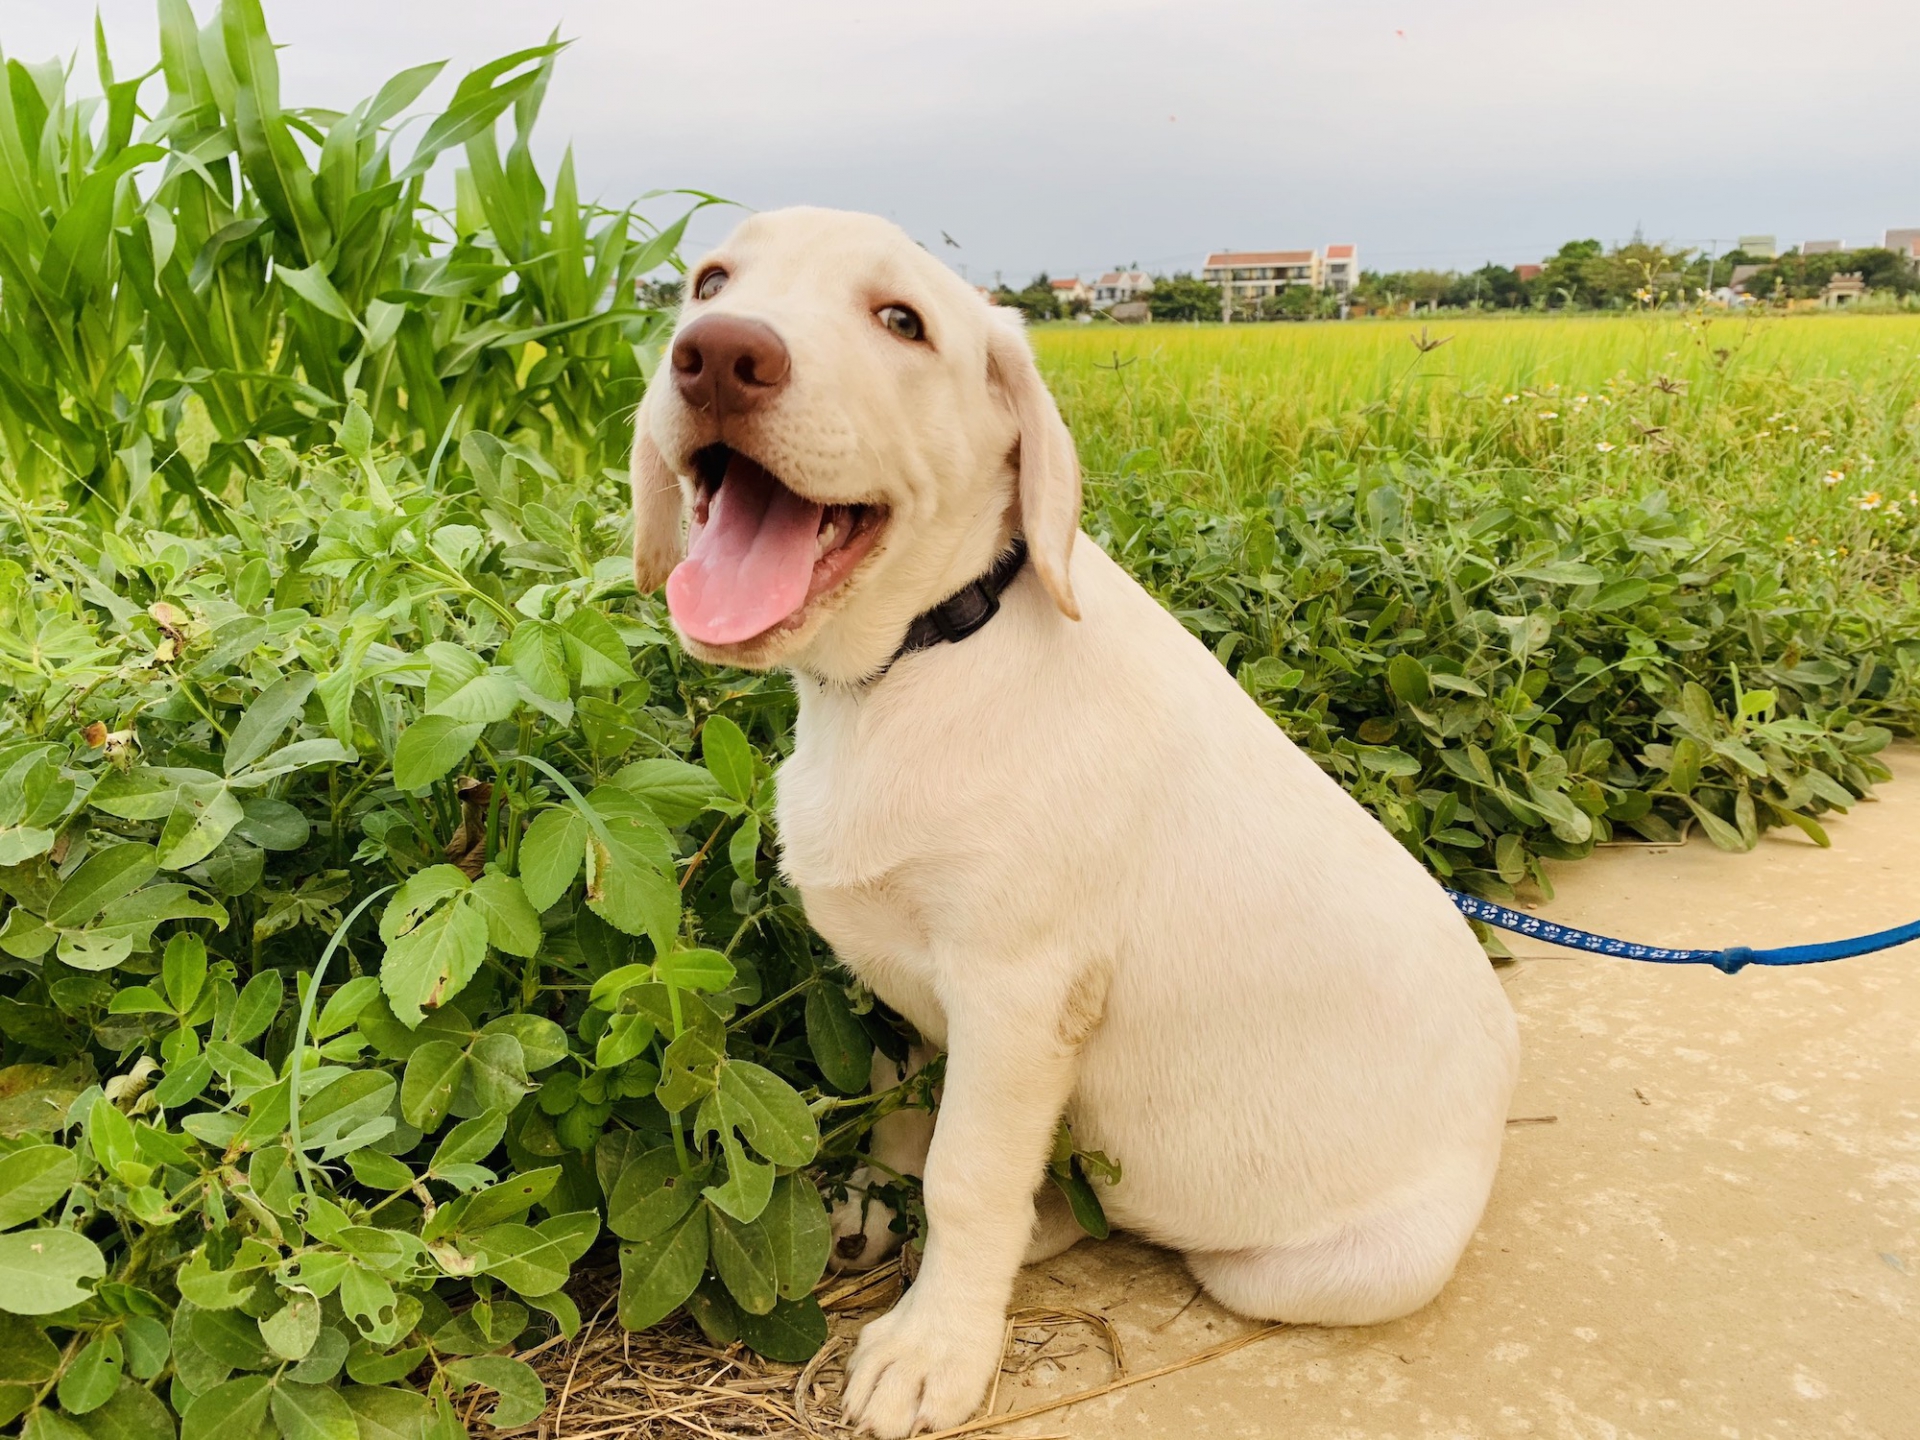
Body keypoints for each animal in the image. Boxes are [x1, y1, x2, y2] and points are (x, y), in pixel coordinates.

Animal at [629, 208, 1512, 1436]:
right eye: (710, 282)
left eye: (901, 321)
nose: (717, 355)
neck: (919, 660)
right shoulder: (907, 974)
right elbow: (902, 1098)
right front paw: (878, 1186)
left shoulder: (1019, 994)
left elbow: (967, 1175)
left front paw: (936, 1346)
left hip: (1317, 1267)